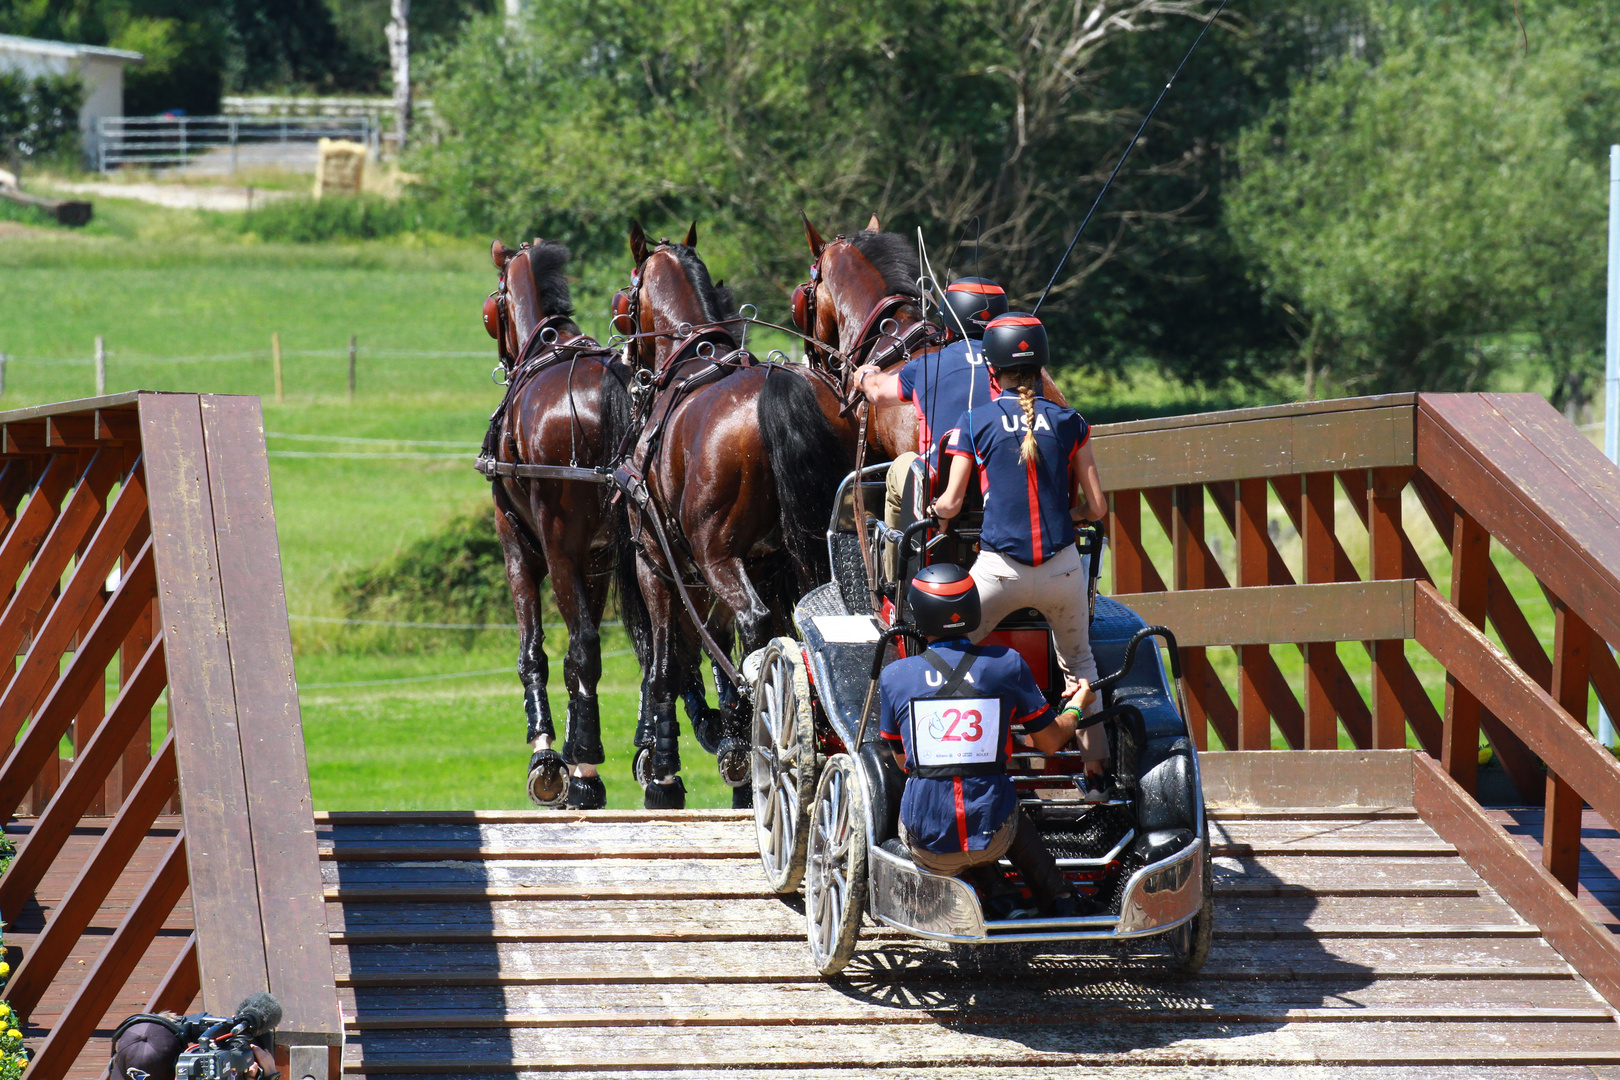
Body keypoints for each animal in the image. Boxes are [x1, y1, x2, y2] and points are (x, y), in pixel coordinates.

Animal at [479, 238, 651, 809]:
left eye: (492, 308)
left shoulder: (519, 548)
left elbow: (535, 652)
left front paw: (550, 757)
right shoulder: (595, 559)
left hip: (554, 551)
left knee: (584, 647)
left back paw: (586, 762)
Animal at [615, 221, 861, 809]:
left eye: (626, 299)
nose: (631, 368)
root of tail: (777, 387)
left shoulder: (658, 564)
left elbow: (666, 664)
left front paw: (665, 771)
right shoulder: (763, 563)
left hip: (715, 557)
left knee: (753, 625)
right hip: (800, 554)